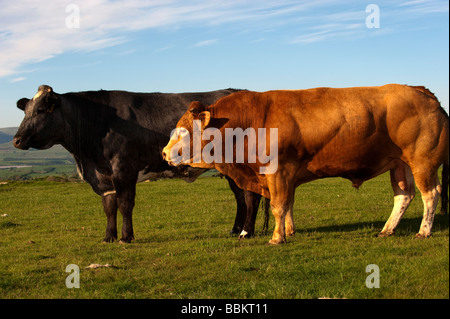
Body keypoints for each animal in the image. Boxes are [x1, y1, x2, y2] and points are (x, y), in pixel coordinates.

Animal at [13, 85, 268, 242]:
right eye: (26, 111)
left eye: (41, 110)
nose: (16, 140)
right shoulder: (104, 176)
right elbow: (109, 207)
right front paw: (108, 237)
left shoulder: (124, 167)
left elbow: (125, 204)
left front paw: (126, 237)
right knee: (240, 197)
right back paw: (235, 229)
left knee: (250, 197)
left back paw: (246, 232)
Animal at [163, 85, 448, 245]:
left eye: (184, 131)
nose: (164, 153)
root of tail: (422, 92)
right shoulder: (286, 175)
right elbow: (288, 203)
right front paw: (290, 231)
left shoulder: (278, 171)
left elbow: (278, 205)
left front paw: (277, 238)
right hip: (400, 164)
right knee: (404, 195)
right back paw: (387, 230)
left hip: (422, 162)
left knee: (430, 194)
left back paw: (424, 231)